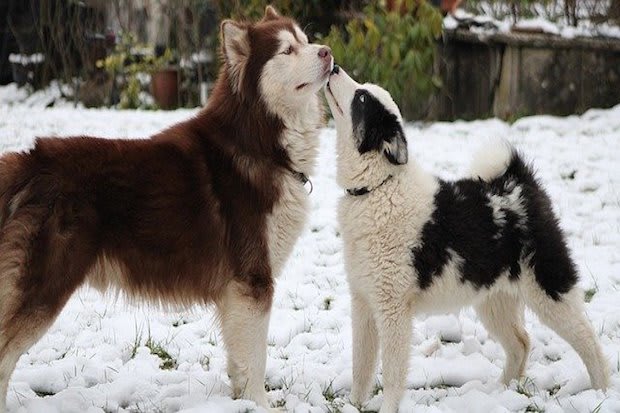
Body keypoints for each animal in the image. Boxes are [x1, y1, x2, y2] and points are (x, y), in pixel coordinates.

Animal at [0, 5, 334, 408]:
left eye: (306, 40)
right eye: (287, 50)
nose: (328, 52)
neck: (260, 141)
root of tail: (31, 161)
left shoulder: (237, 292)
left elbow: (240, 358)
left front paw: (240, 399)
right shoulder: (253, 279)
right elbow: (256, 358)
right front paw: (260, 404)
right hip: (46, 287)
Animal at [324, 66, 612, 410]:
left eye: (362, 98)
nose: (334, 67)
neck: (379, 187)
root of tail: (518, 182)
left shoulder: (392, 308)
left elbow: (392, 371)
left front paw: (388, 408)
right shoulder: (364, 302)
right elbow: (362, 364)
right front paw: (353, 405)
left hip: (549, 288)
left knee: (589, 342)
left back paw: (601, 392)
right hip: (493, 299)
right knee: (520, 343)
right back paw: (501, 390)